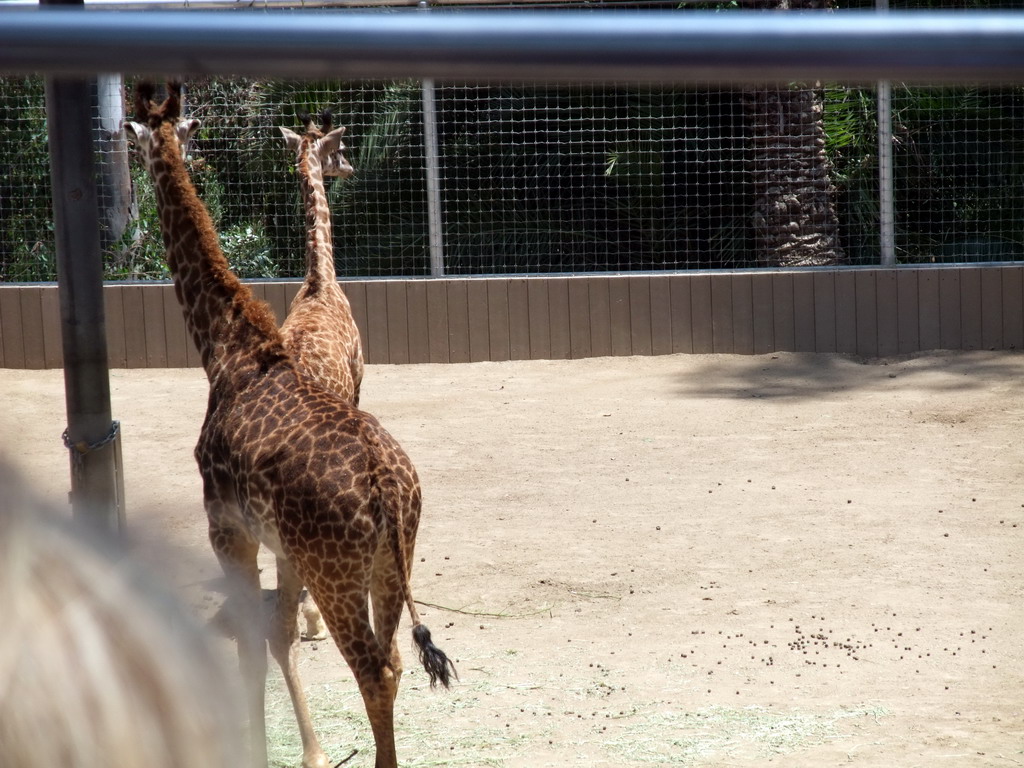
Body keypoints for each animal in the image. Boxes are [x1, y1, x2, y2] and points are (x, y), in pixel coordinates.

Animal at [122, 79, 452, 768]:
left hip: (337, 568)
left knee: (373, 668)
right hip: (387, 561)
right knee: (394, 658)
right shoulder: (281, 545)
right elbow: (275, 634)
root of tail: (388, 484)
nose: (349, 167)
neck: (225, 347)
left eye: (132, 139)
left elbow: (251, 645)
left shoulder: (227, 528)